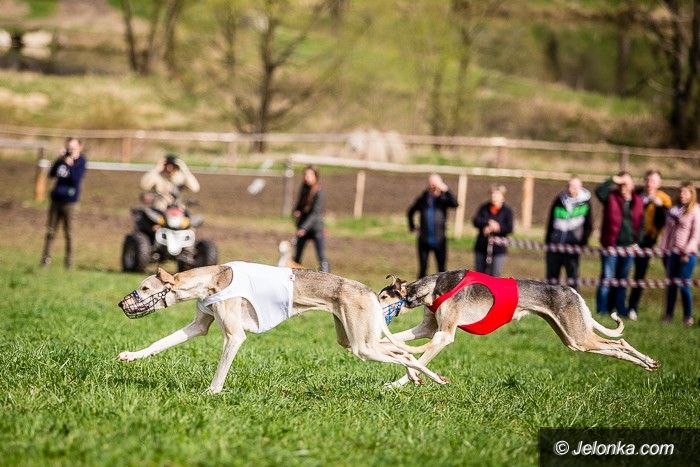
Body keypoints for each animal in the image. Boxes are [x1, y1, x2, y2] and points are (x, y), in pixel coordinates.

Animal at [117, 262, 447, 394]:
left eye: (144, 288)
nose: (121, 304)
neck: (213, 278)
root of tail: (367, 291)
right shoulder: (199, 325)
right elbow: (160, 343)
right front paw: (130, 356)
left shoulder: (234, 336)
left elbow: (221, 367)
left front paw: (211, 392)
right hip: (353, 338)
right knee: (402, 352)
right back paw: (417, 378)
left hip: (362, 345)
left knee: (403, 353)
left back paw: (435, 378)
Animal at [377, 270, 659, 388]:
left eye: (382, 297)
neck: (433, 287)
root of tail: (572, 291)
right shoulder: (427, 329)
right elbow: (398, 344)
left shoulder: (443, 335)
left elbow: (418, 358)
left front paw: (399, 383)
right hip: (571, 338)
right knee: (614, 347)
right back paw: (645, 364)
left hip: (577, 335)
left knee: (619, 342)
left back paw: (648, 361)